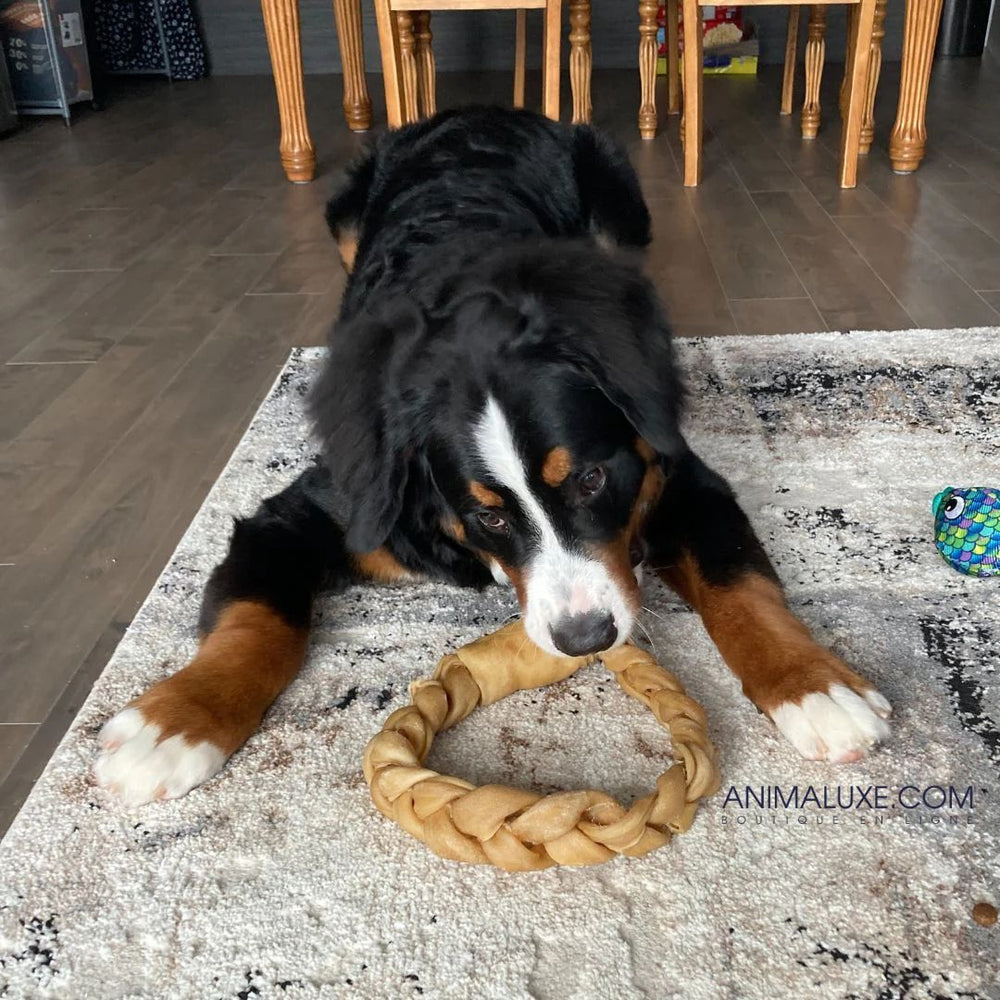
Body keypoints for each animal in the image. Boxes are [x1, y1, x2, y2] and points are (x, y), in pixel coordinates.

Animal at [94, 105, 892, 804]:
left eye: (593, 479)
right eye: (489, 519)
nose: (586, 636)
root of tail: (476, 111)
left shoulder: (680, 481)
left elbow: (741, 585)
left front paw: (816, 687)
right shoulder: (306, 514)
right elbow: (257, 619)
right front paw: (174, 724)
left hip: (619, 206)